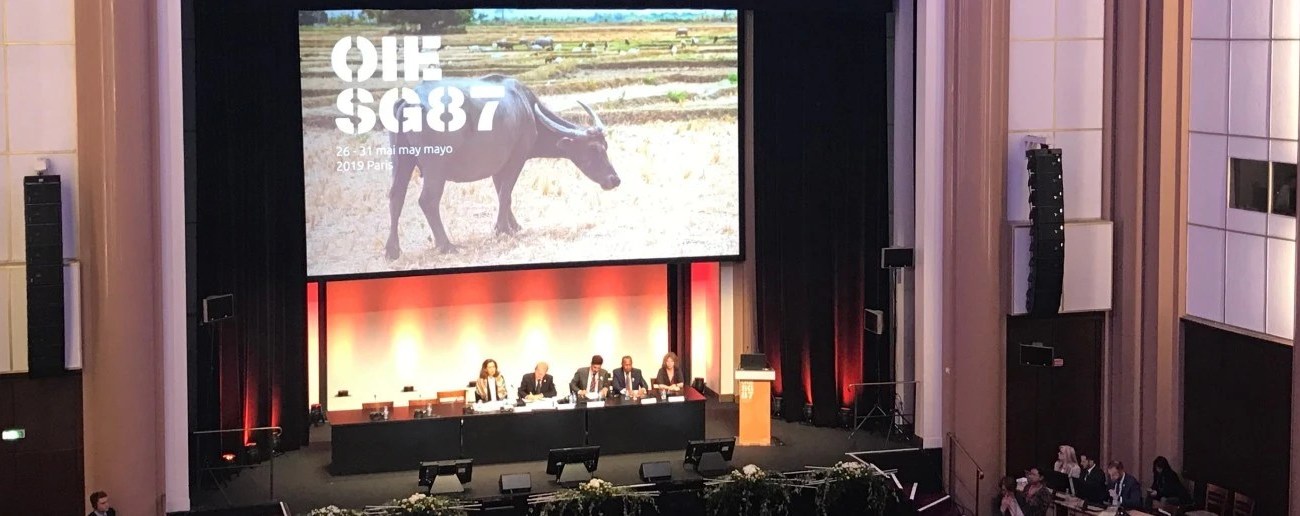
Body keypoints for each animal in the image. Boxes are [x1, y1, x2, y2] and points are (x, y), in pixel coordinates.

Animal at [382, 74, 621, 257]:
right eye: (594, 149)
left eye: (606, 145)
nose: (615, 179)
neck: (528, 111)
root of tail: (410, 101)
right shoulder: (516, 159)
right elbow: (506, 194)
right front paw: (502, 229)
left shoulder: (499, 167)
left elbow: (501, 193)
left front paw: (513, 226)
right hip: (435, 169)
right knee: (428, 200)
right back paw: (446, 245)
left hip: (401, 160)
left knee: (396, 196)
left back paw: (392, 250)